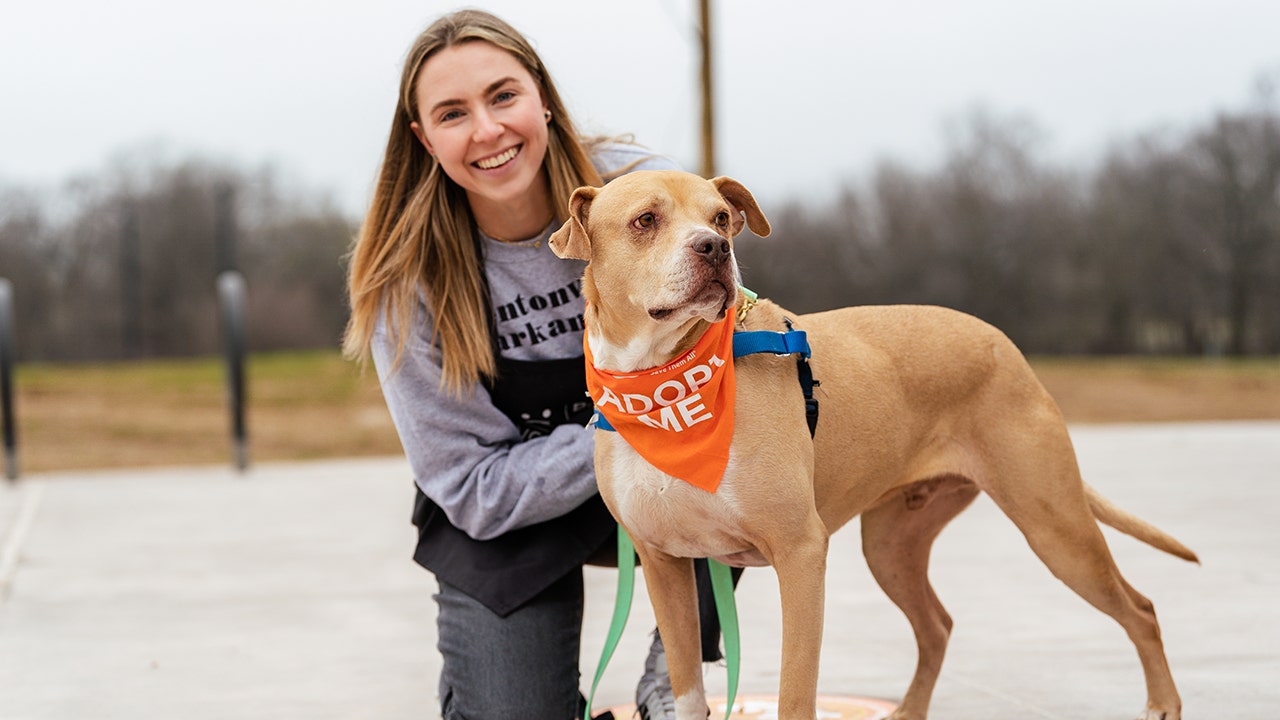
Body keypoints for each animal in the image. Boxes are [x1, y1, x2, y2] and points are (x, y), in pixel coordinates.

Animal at [547, 170, 1187, 717]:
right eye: (645, 220)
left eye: (722, 217)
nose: (714, 248)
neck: (664, 385)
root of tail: (1003, 343)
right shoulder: (665, 565)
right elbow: (686, 689)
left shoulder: (801, 553)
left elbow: (795, 695)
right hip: (891, 546)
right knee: (937, 626)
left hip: (1055, 527)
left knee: (1141, 609)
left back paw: (1162, 703)